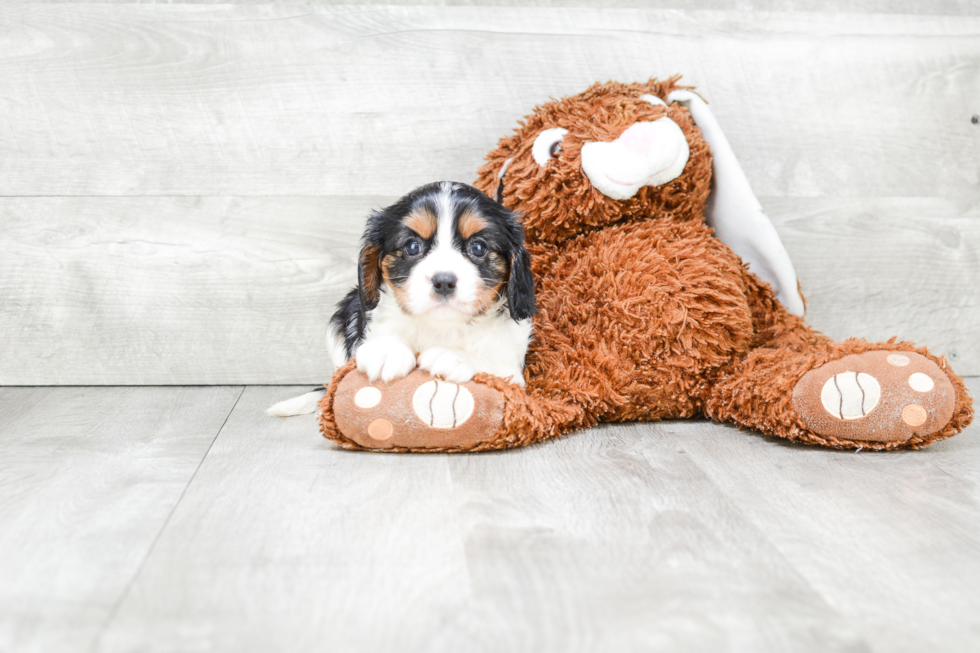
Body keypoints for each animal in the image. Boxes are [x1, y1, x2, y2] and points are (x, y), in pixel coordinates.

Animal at [266, 181, 536, 416]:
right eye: (412, 247)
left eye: (478, 248)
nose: (444, 281)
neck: (441, 326)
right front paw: (387, 351)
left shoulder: (513, 369)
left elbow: (496, 366)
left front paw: (454, 356)